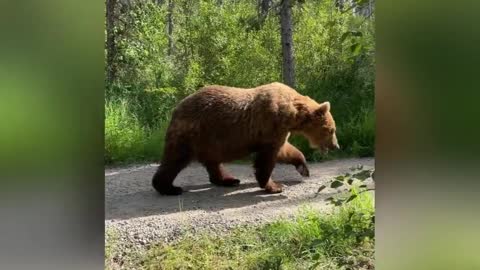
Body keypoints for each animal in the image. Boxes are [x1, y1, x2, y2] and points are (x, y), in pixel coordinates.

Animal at [152, 81, 340, 195]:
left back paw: (229, 180)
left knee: (213, 161)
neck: (293, 114)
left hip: (210, 140)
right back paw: (169, 188)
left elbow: (284, 150)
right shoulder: (270, 124)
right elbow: (267, 158)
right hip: (193, 133)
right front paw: (274, 186)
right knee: (176, 159)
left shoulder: (278, 131)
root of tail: (176, 108)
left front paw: (303, 168)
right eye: (332, 130)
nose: (336, 146)